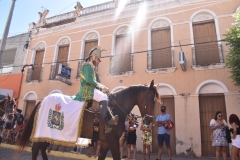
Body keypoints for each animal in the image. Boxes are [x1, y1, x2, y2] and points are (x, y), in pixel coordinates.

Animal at [16, 79, 159, 159]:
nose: (149, 120)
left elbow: (101, 157)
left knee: (41, 148)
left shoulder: (106, 141)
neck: (115, 108)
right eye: (150, 99)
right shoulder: (112, 140)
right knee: (36, 149)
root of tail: (42, 101)